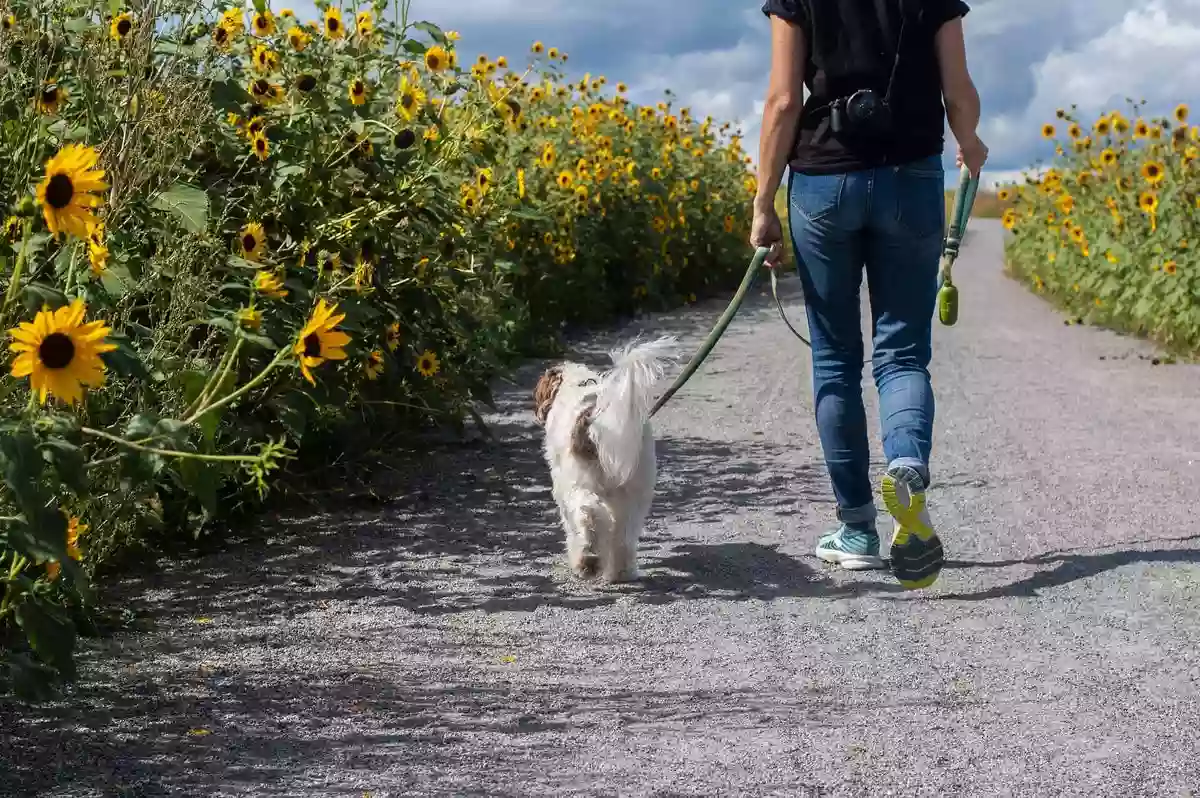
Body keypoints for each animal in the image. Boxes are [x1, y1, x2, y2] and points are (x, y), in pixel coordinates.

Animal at [532, 333, 676, 583]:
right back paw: (621, 572)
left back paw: (587, 561)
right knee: (624, 536)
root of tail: (594, 417)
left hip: (580, 485)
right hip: (635, 491)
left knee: (588, 515)